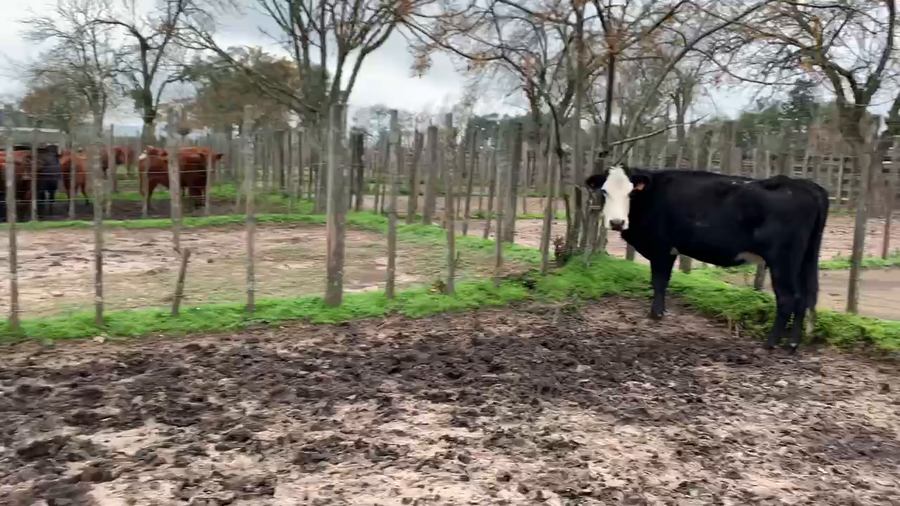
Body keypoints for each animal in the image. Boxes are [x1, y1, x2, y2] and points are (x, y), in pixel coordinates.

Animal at [585, 163, 828, 352]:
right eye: (604, 192)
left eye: (631, 193)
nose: (617, 222)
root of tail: (803, 184)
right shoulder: (670, 250)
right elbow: (663, 282)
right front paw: (660, 311)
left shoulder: (660, 247)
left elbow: (658, 281)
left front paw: (655, 314)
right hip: (804, 260)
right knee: (804, 297)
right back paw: (792, 344)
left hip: (783, 260)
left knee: (788, 298)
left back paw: (771, 343)